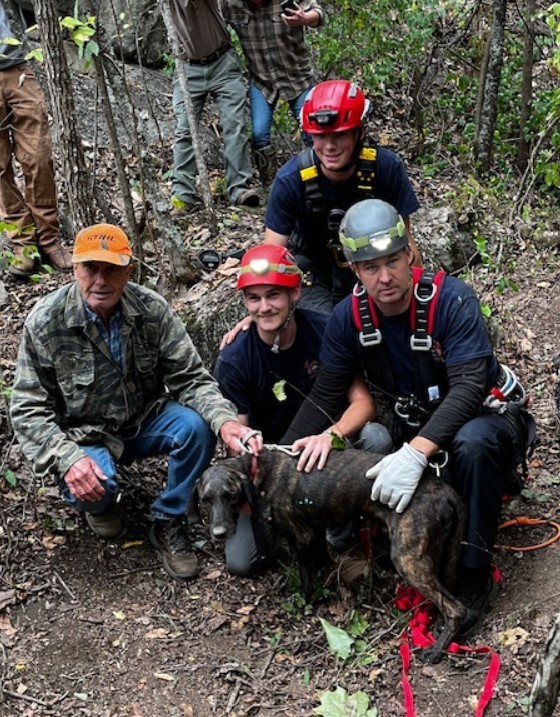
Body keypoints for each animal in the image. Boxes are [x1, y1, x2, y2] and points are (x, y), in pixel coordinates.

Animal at [197, 444, 468, 664]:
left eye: (230, 496)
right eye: (205, 499)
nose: (219, 533)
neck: (257, 471)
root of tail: (447, 492)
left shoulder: (303, 537)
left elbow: (306, 579)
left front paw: (303, 604)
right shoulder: (316, 533)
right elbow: (322, 565)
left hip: (407, 559)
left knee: (456, 608)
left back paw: (435, 651)